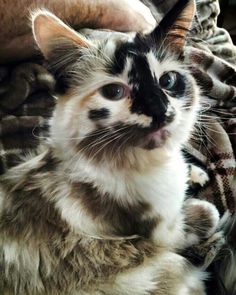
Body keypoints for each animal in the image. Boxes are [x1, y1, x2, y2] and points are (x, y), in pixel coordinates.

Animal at [0, 0, 221, 294]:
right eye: (115, 92)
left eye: (168, 81)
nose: (159, 110)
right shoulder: (161, 233)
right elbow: (197, 220)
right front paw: (204, 208)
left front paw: (194, 173)